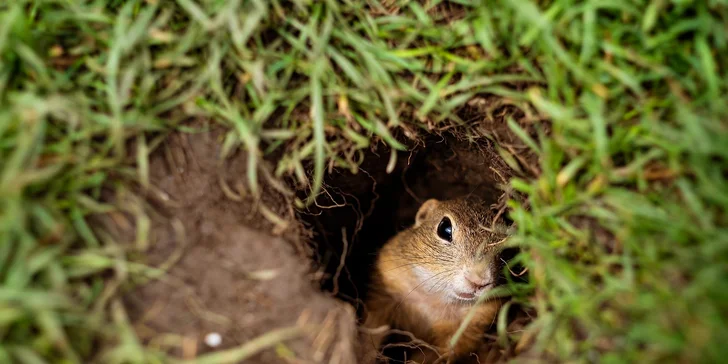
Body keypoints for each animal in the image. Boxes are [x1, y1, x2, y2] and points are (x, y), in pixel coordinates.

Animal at [362, 199, 510, 364]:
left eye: (506, 247)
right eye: (444, 229)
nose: (479, 280)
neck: (433, 300)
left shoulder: (472, 323)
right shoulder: (387, 290)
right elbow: (373, 326)